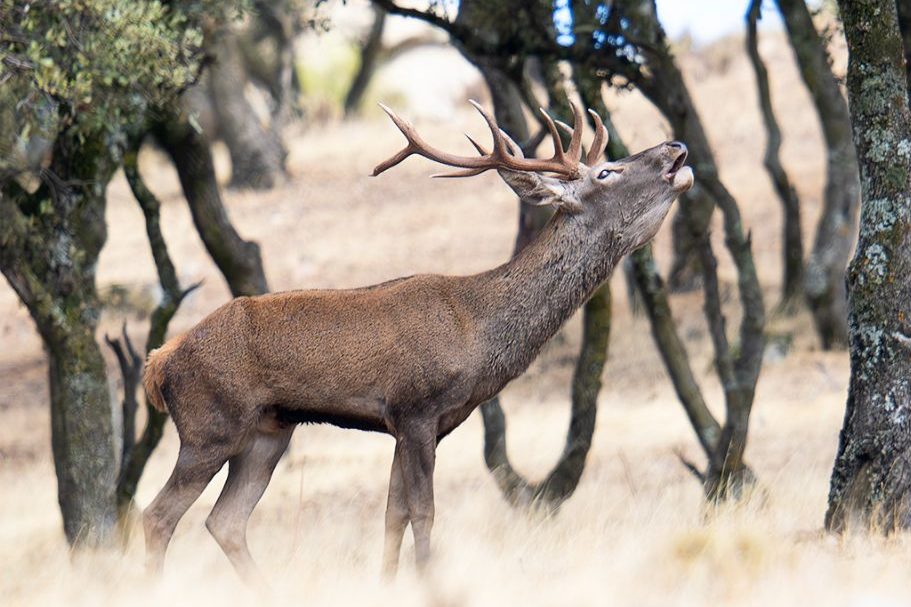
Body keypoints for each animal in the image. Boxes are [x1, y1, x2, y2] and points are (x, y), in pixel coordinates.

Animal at [140, 99, 693, 584]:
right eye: (606, 173)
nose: (677, 147)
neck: (477, 332)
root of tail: (159, 362)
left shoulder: (425, 424)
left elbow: (394, 515)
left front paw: (388, 584)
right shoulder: (416, 408)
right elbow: (423, 512)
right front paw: (427, 580)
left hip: (267, 432)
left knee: (225, 520)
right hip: (210, 425)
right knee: (157, 515)